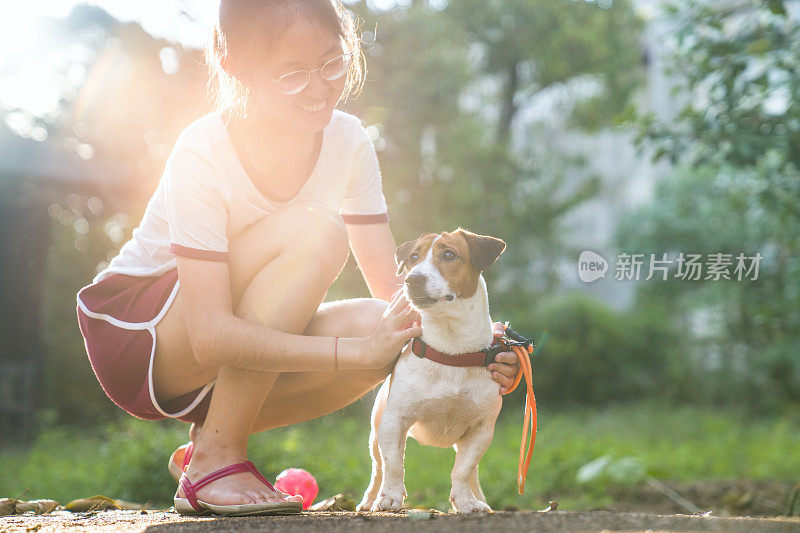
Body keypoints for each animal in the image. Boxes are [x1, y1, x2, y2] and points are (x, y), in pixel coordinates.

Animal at [358, 228, 506, 512]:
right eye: (413, 258)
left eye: (449, 254)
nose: (412, 279)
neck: (452, 351)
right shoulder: (394, 421)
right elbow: (394, 464)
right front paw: (390, 497)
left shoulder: (482, 429)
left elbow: (463, 470)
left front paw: (466, 501)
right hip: (375, 432)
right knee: (377, 467)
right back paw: (370, 498)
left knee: (473, 472)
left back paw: (478, 498)